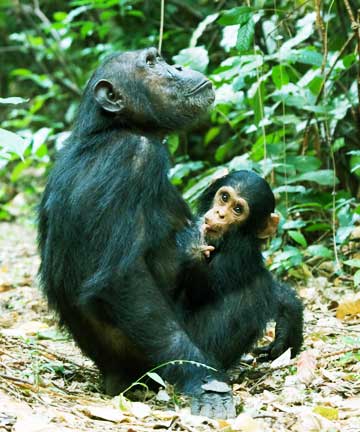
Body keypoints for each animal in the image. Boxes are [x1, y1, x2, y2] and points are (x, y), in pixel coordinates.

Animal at [38, 47, 236, 418]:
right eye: (151, 63)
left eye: (161, 59)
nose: (179, 65)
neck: (112, 128)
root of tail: (114, 378)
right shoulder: (133, 160)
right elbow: (124, 280)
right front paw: (204, 381)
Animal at [177, 170, 304, 372]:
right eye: (224, 197)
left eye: (237, 209)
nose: (220, 214)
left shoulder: (241, 251)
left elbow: (202, 291)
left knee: (258, 285)